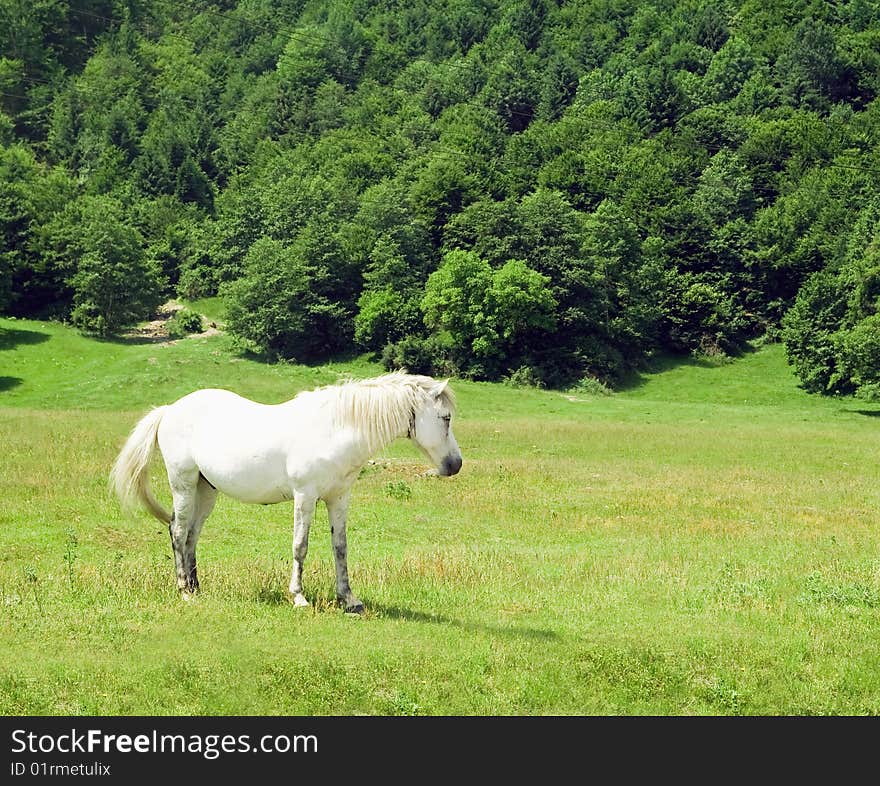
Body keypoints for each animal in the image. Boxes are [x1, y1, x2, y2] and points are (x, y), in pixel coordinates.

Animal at [111, 370, 460, 608]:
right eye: (445, 418)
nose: (455, 464)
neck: (334, 429)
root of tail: (169, 409)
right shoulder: (305, 497)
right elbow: (300, 546)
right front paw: (298, 597)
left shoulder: (338, 499)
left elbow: (340, 548)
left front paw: (348, 599)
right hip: (183, 484)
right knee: (178, 530)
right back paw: (185, 590)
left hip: (206, 490)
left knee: (192, 535)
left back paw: (197, 587)